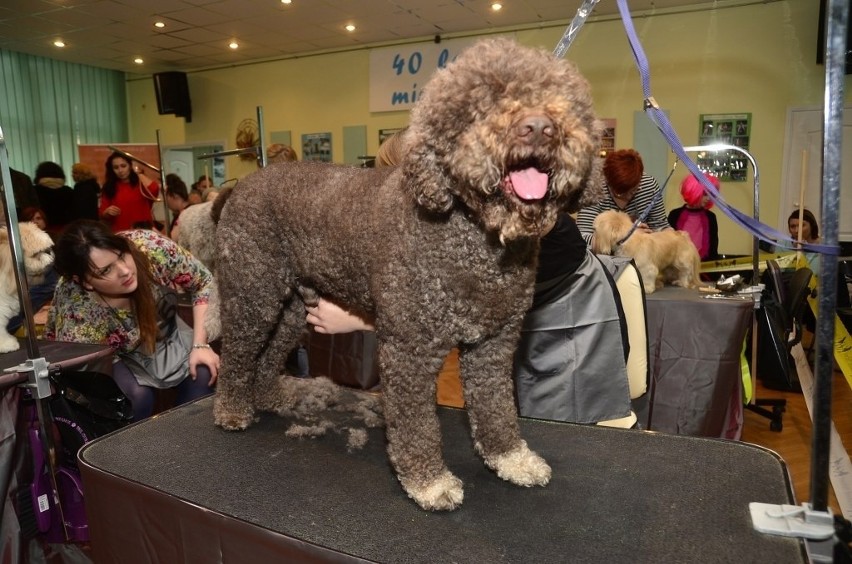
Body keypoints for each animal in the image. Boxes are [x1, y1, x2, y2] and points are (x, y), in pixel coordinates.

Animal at [212, 37, 600, 508]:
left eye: (561, 101)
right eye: (482, 104)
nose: (539, 127)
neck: (471, 236)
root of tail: (239, 188)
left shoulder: (494, 344)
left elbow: (496, 408)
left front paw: (511, 459)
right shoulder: (410, 349)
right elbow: (416, 425)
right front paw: (429, 482)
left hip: (289, 309)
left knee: (268, 355)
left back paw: (271, 396)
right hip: (252, 295)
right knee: (237, 354)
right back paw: (232, 410)